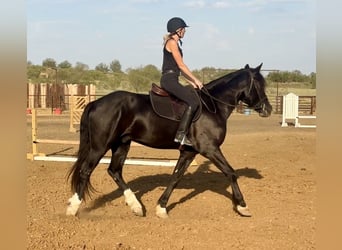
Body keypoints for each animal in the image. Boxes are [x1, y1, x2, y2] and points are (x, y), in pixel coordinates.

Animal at [65, 63, 272, 219]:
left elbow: (175, 177)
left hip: (121, 144)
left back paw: (136, 206)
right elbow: (230, 172)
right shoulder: (210, 148)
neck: (213, 105)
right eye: (259, 85)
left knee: (114, 171)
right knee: (86, 171)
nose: (268, 109)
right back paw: (73, 208)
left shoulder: (189, 152)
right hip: (100, 146)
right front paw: (242, 206)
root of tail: (95, 103)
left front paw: (161, 207)